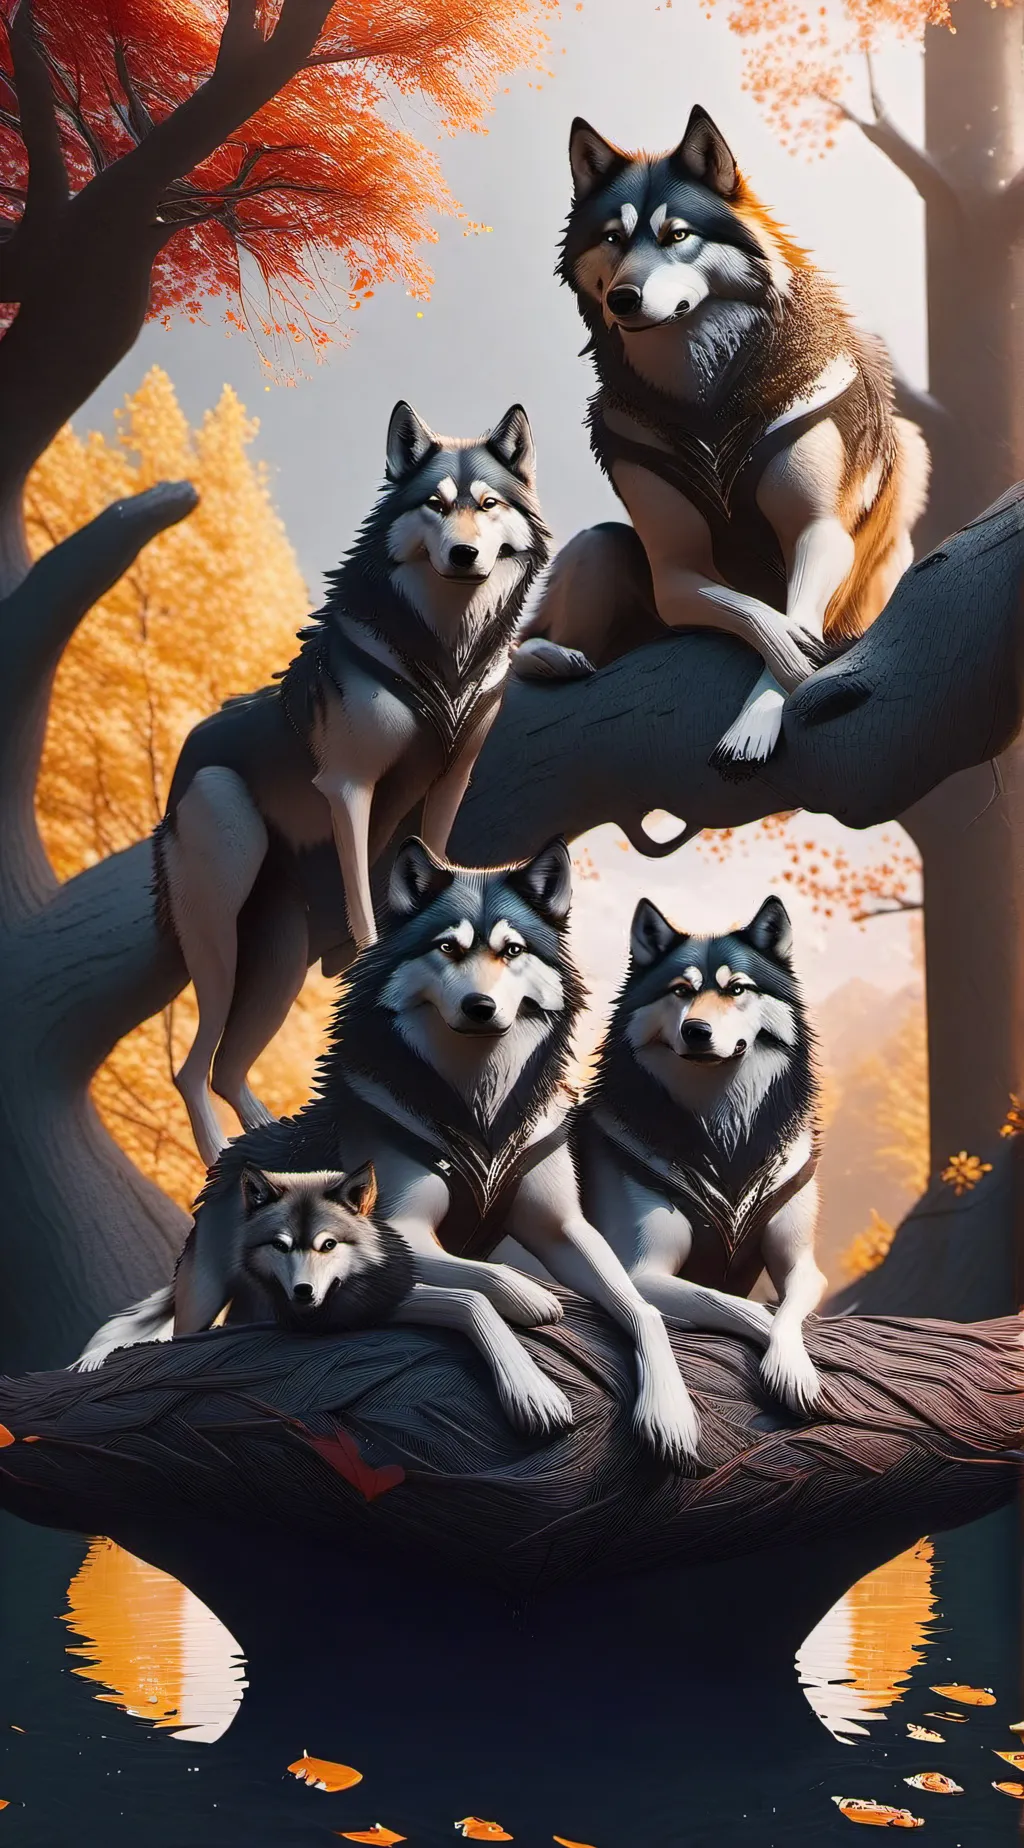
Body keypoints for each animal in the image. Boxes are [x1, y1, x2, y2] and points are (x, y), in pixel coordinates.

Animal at [78, 839, 701, 1464]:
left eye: (513, 950)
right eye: (447, 947)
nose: (479, 1006)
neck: (481, 1116)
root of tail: (234, 1156)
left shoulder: (563, 1228)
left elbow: (642, 1309)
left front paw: (670, 1415)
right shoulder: (403, 1233)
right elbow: (483, 1289)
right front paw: (532, 1363)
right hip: (204, 1300)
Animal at [157, 399, 550, 1167]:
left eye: (487, 505)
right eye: (435, 504)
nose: (464, 555)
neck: (445, 658)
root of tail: (184, 765)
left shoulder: (452, 779)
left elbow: (434, 852)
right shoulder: (348, 786)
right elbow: (366, 898)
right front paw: (373, 945)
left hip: (276, 967)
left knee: (226, 1068)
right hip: (223, 921)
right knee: (191, 1068)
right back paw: (221, 1156)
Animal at [516, 106, 929, 771]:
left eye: (677, 235)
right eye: (613, 238)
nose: (623, 298)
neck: (705, 402)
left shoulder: (820, 532)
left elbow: (791, 622)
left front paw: (762, 716)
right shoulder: (675, 573)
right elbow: (761, 617)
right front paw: (794, 673)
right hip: (600, 548)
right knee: (527, 643)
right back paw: (556, 658)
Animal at [570, 892, 826, 1413]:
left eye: (737, 989)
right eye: (679, 991)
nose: (696, 1030)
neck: (724, 1142)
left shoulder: (803, 1264)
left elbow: (784, 1312)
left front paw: (793, 1370)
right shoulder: (641, 1272)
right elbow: (747, 1308)